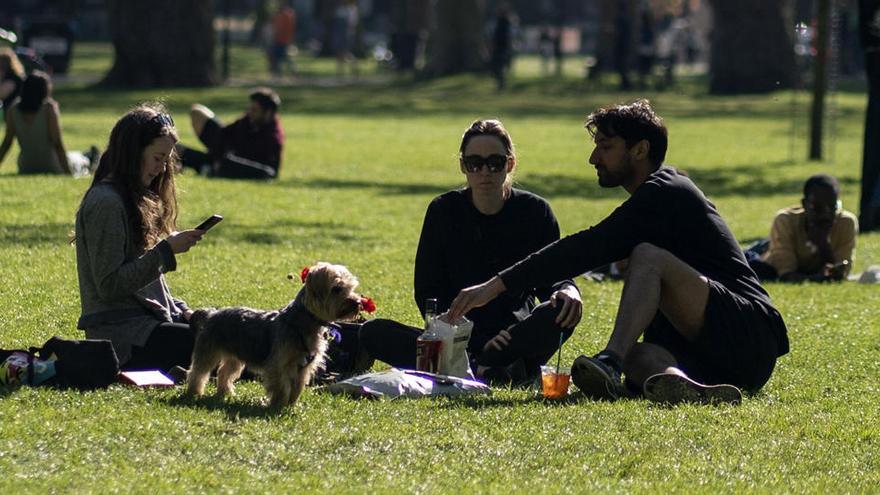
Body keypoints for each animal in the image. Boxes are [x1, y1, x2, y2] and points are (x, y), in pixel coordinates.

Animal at [186, 262, 364, 408]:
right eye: (337, 289)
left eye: (351, 288)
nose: (358, 302)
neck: (305, 322)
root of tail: (211, 314)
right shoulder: (279, 364)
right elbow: (282, 386)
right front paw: (278, 405)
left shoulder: (304, 368)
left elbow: (297, 387)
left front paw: (291, 405)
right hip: (208, 351)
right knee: (198, 372)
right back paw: (194, 393)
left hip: (235, 357)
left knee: (225, 372)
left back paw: (225, 393)